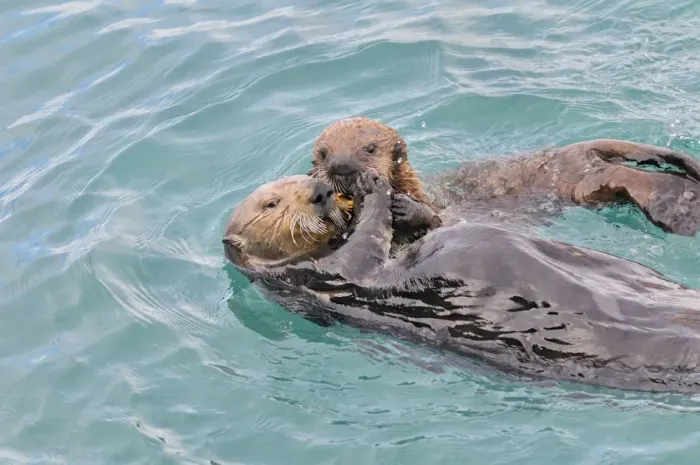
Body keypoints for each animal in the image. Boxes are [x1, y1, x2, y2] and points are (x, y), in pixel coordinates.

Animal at [223, 172, 700, 394]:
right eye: (271, 203)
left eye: (307, 179)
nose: (321, 191)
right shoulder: (321, 274)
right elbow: (365, 249)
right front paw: (372, 187)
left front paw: (404, 205)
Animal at [308, 117, 700, 237]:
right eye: (323, 153)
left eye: (370, 148)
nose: (341, 166)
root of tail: (573, 149)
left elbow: (439, 219)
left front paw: (407, 209)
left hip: (582, 180)